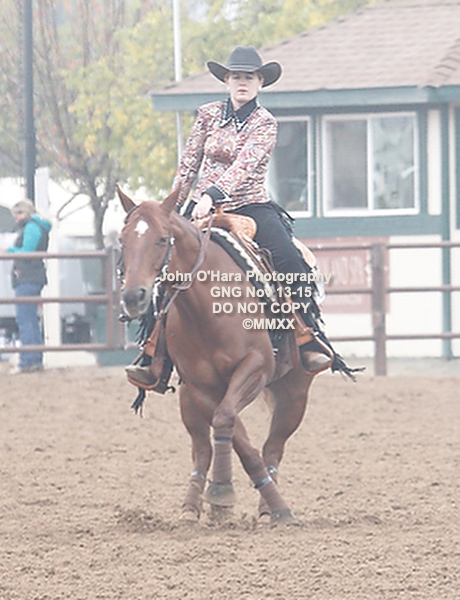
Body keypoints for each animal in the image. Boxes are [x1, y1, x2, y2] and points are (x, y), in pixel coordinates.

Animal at [117, 187, 318, 526]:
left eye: (162, 239)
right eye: (123, 240)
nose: (134, 296)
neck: (206, 308)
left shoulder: (255, 367)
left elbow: (230, 424)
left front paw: (266, 503)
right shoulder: (201, 386)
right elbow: (233, 432)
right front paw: (220, 494)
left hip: (294, 394)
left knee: (273, 447)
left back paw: (269, 508)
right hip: (187, 398)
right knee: (202, 449)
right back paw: (190, 507)